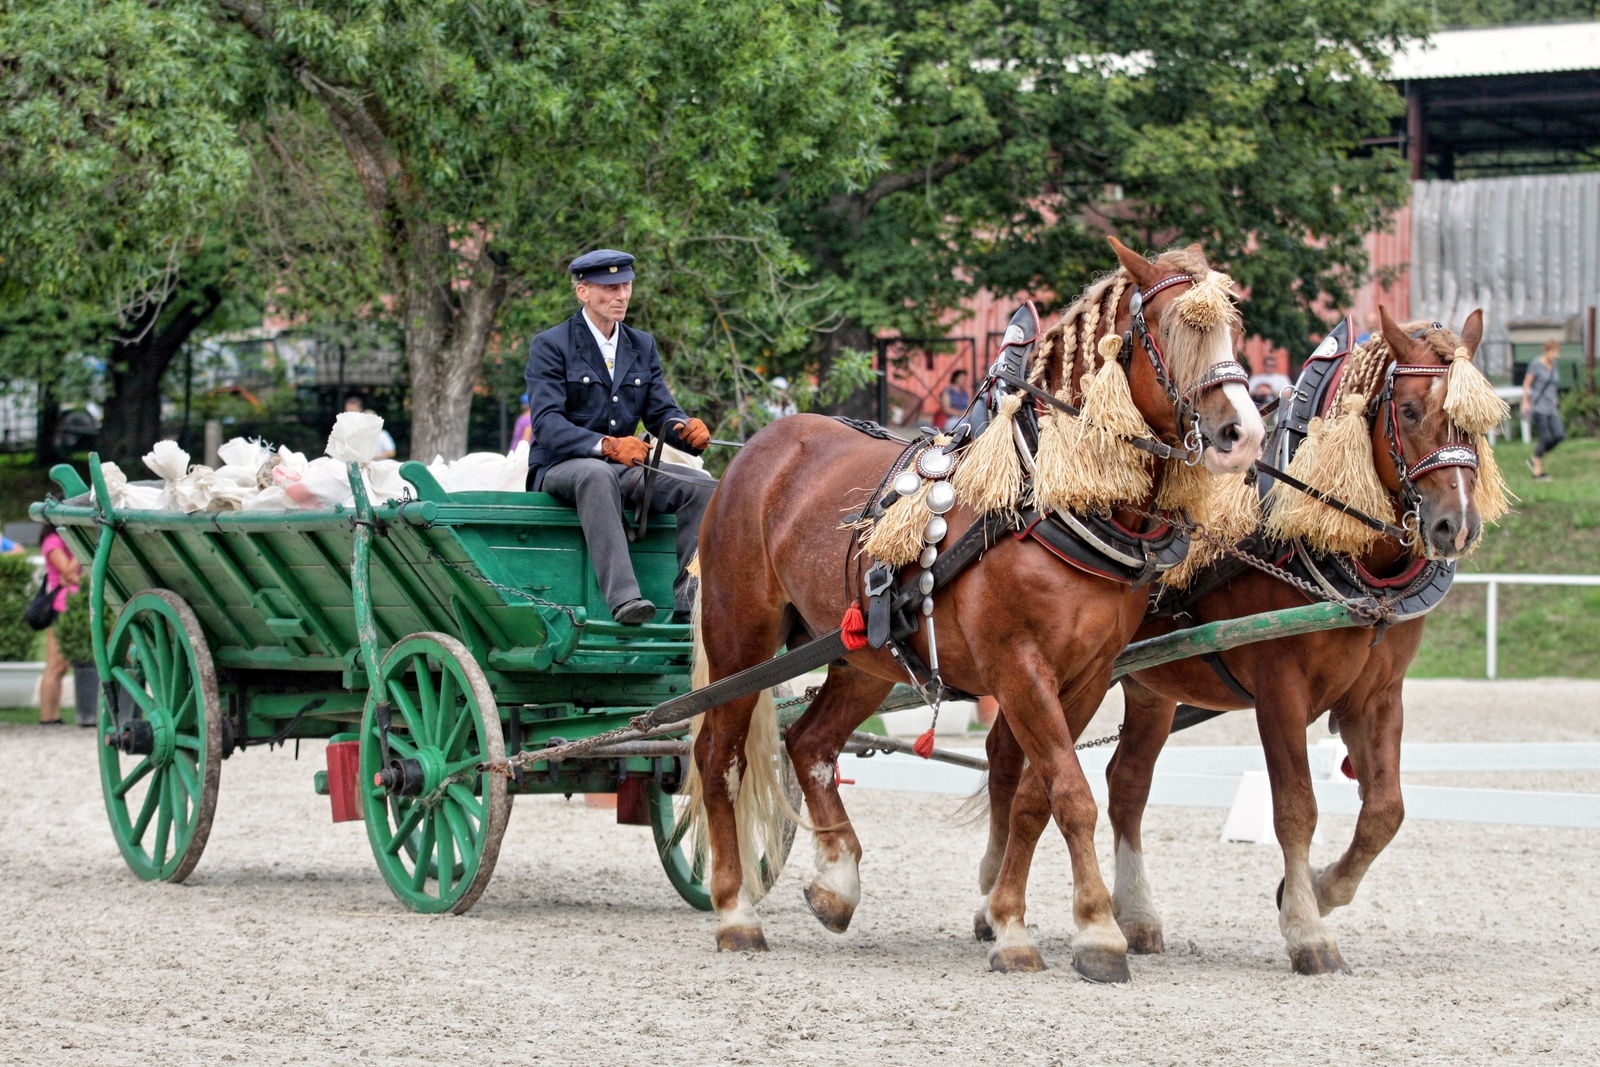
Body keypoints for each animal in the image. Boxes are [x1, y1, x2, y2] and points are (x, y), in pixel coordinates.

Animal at [694, 238, 1267, 979]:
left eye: (1229, 326)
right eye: (1172, 328)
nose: (1242, 432)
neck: (1055, 493)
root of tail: (759, 448)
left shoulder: (1086, 676)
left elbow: (1034, 798)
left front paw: (1012, 920)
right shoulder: (1020, 668)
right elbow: (1071, 793)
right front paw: (1097, 931)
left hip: (865, 654)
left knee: (809, 743)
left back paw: (837, 881)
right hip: (740, 633)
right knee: (719, 755)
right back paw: (735, 910)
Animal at [979, 307, 1504, 979]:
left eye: (1482, 423)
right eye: (1409, 411)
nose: (1454, 525)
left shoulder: (1379, 693)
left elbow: (1385, 812)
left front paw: (1319, 890)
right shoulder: (1281, 689)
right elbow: (1297, 806)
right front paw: (1306, 928)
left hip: (1144, 684)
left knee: (1125, 783)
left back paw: (1133, 915)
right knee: (1011, 759)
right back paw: (995, 905)